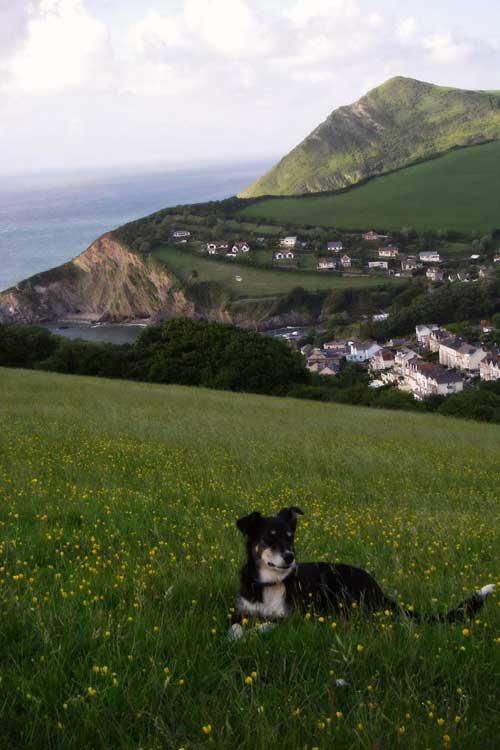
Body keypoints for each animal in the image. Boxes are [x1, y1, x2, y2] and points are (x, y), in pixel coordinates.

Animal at [229, 506, 494, 640]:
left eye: (290, 538)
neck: (268, 585)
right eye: (269, 537)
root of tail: (379, 589)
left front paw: (253, 633)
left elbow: (267, 625)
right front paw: (234, 638)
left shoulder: (292, 618)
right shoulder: (240, 611)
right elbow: (235, 627)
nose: (290, 557)